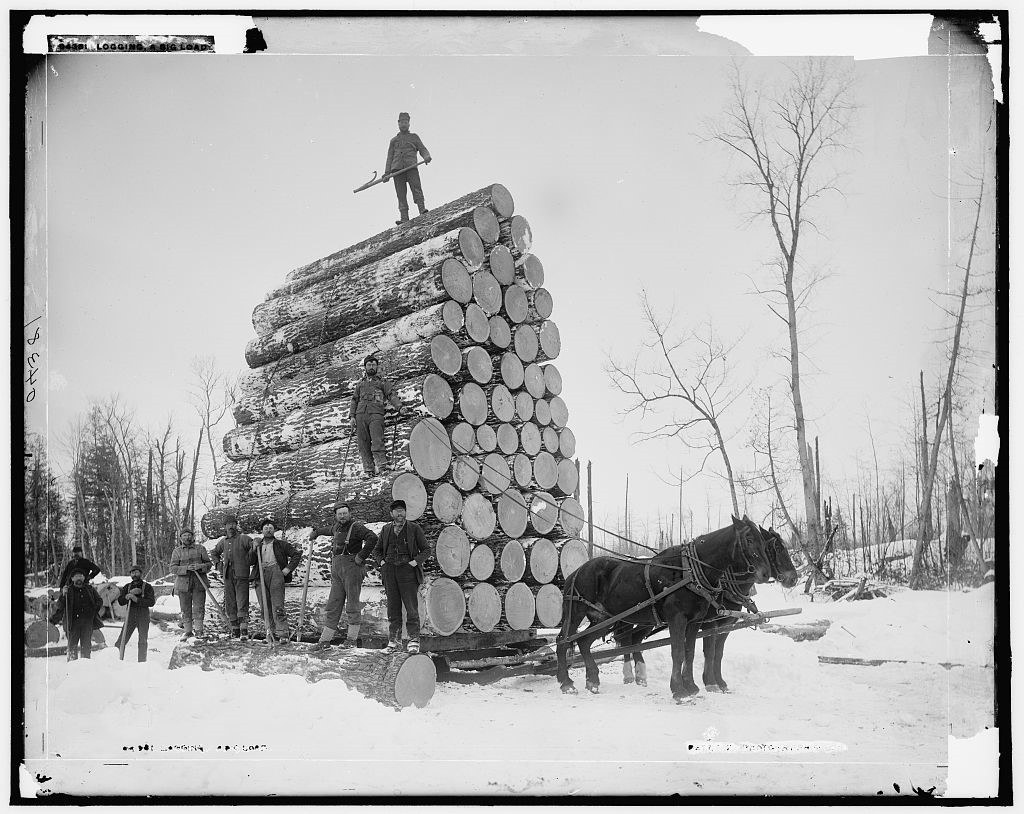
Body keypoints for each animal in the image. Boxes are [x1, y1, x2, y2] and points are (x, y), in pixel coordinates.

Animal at [561, 518, 770, 704]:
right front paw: (679, 691)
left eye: (763, 540)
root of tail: (577, 571)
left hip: (604, 618)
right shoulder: (677, 619)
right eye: (749, 539)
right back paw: (566, 683)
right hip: (577, 613)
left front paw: (691, 686)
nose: (766, 573)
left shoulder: (694, 622)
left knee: (583, 641)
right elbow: (678, 652)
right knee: (563, 641)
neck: (689, 572)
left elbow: (690, 652)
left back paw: (592, 680)